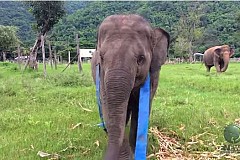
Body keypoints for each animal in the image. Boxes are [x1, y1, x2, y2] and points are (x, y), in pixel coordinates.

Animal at [91, 14, 170, 159]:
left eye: (141, 58)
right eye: (102, 57)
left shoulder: (154, 73)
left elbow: (140, 109)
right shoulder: (102, 75)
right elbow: (107, 105)